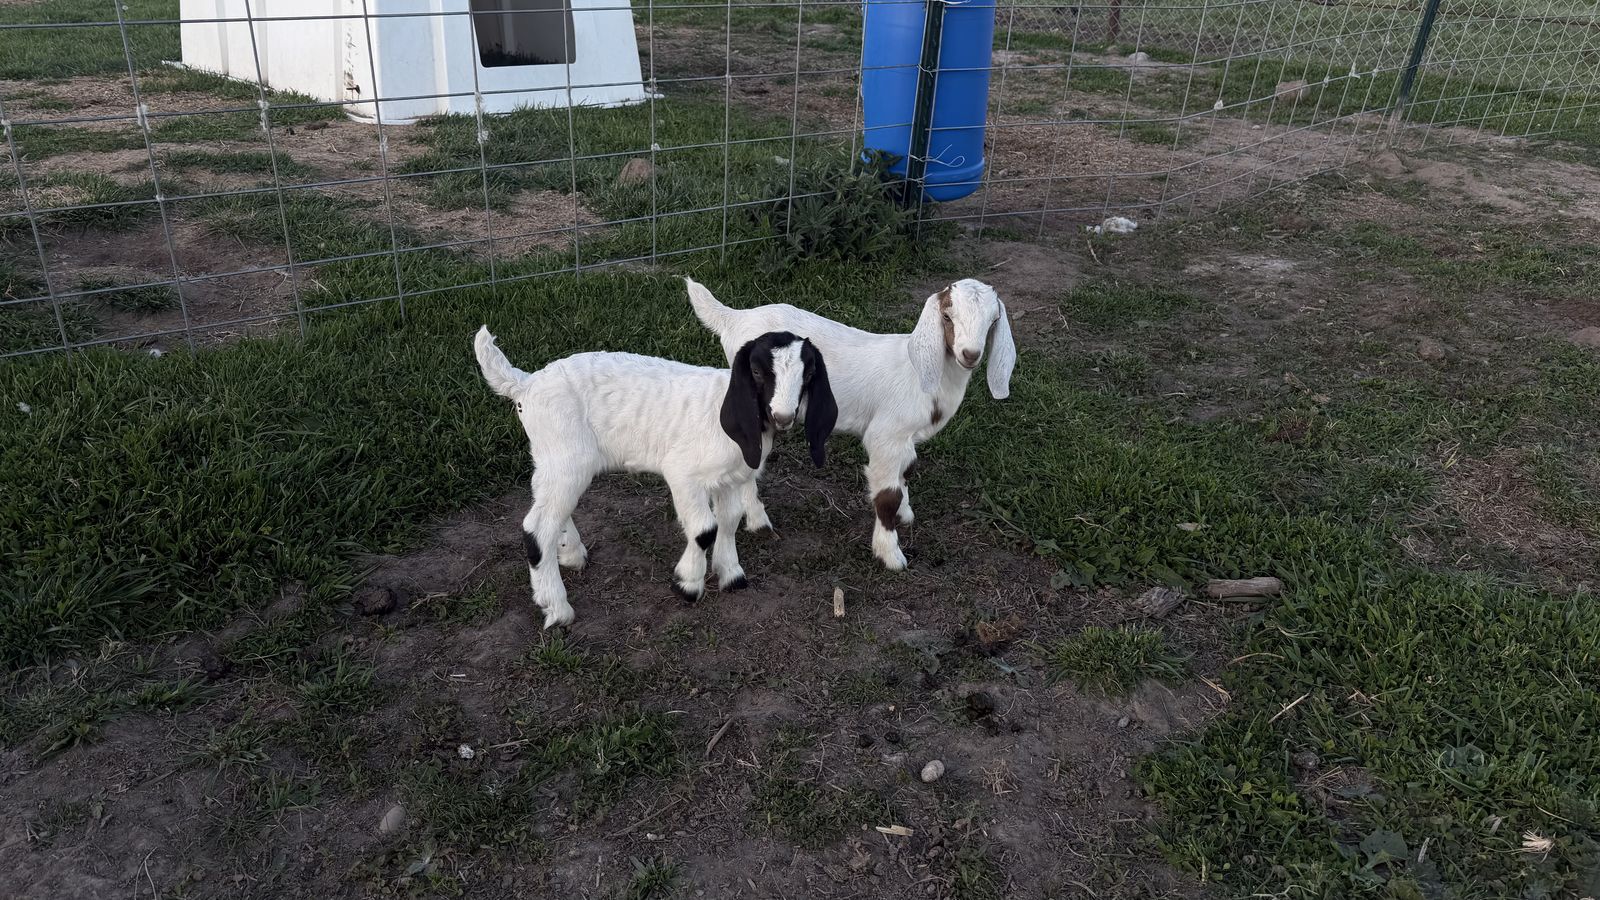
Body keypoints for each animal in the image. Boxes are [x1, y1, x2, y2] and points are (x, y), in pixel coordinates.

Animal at [474, 325, 837, 628]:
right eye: (758, 372)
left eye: (809, 374)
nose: (783, 416)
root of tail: (526, 383)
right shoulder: (683, 473)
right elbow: (705, 529)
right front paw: (688, 584)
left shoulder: (731, 479)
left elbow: (730, 520)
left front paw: (731, 574)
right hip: (565, 453)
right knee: (536, 527)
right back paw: (558, 608)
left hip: (556, 458)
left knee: (550, 505)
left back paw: (572, 553)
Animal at [685, 277, 1014, 570]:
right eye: (947, 316)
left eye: (993, 320)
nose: (970, 354)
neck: (919, 371)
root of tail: (734, 318)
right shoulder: (886, 434)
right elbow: (887, 495)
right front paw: (890, 554)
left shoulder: (906, 437)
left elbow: (907, 470)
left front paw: (906, 513)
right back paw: (757, 520)